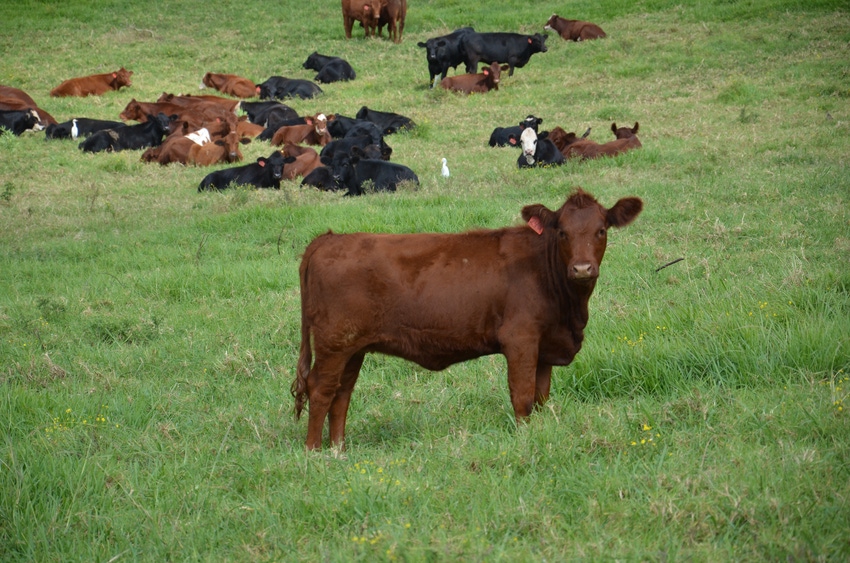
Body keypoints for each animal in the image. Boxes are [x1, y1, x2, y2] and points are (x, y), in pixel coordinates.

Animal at [292, 189, 644, 450]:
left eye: (601, 230)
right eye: (563, 232)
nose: (582, 268)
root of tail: (329, 238)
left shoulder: (545, 346)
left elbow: (540, 398)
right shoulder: (520, 339)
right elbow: (522, 396)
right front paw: (525, 440)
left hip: (353, 347)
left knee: (342, 393)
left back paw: (338, 449)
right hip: (334, 342)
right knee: (320, 388)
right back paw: (314, 451)